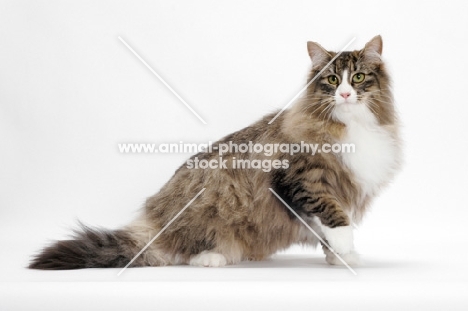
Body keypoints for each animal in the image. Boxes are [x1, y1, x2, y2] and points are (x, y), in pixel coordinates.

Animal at [30, 36, 402, 270]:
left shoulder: (334, 188)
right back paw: (213, 258)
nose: (344, 94)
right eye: (331, 80)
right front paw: (345, 249)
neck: (350, 125)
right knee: (182, 252)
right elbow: (335, 218)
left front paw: (340, 258)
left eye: (358, 77)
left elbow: (325, 228)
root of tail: (155, 222)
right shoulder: (302, 181)